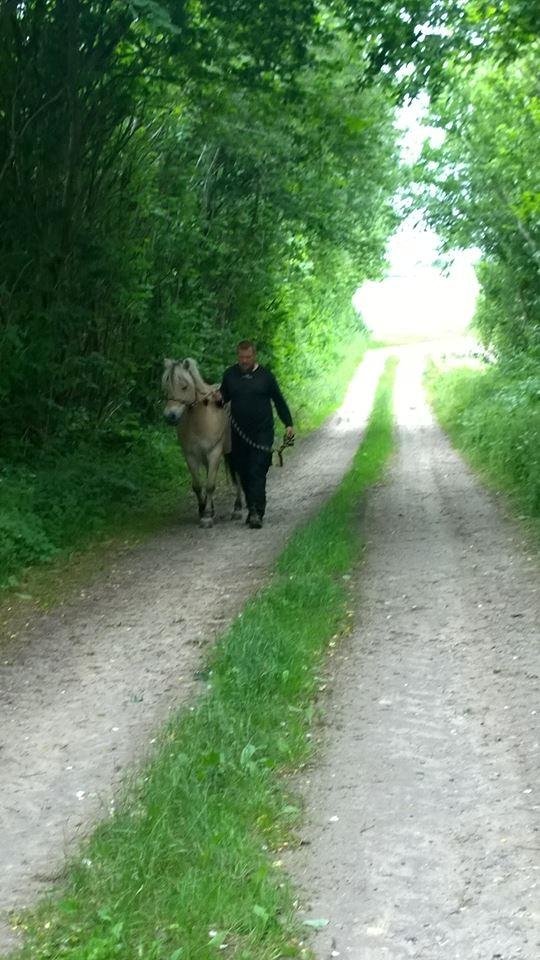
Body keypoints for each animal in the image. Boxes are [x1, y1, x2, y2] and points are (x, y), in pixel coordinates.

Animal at [161, 358, 244, 528]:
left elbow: (210, 484)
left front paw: (206, 517)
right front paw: (203, 509)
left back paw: (237, 509)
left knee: (237, 476)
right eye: (166, 387)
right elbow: (198, 485)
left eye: (184, 386)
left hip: (232, 452)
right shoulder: (191, 455)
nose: (170, 416)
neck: (201, 418)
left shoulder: (214, 453)